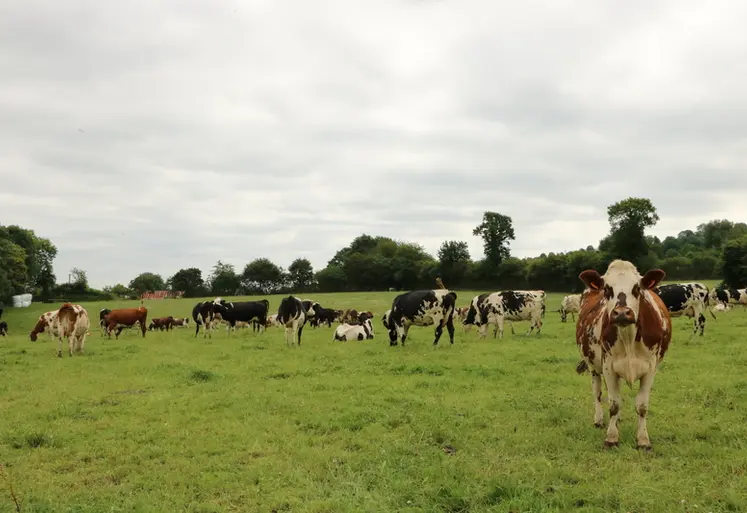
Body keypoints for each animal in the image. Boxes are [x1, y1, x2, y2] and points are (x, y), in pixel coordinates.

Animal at [575, 259, 672, 450]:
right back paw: (599, 419)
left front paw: (643, 440)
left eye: (637, 288)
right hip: (593, 367)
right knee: (598, 393)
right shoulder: (608, 367)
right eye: (607, 289)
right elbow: (614, 404)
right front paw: (612, 437)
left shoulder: (650, 369)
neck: (628, 338)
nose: (621, 313)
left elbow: (642, 406)